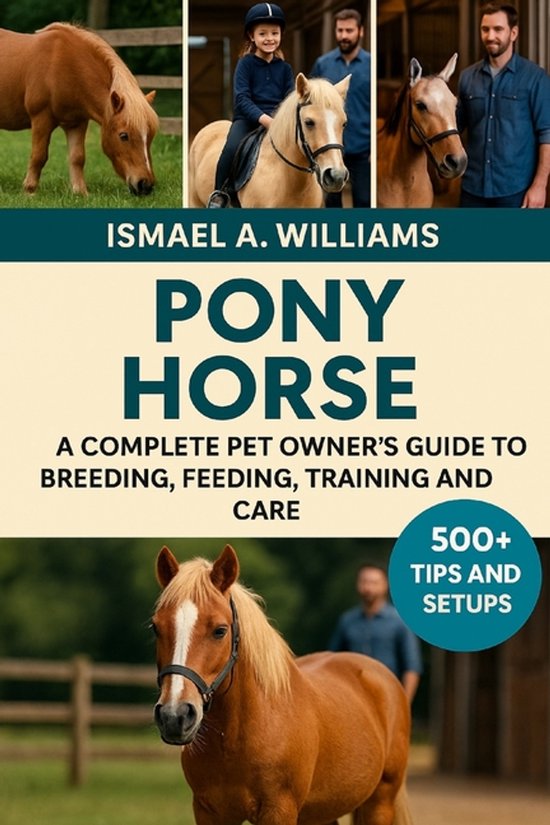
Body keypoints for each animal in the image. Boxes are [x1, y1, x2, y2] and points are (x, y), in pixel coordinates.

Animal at [0, 23, 159, 195]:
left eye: (150, 136)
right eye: (124, 136)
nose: (145, 185)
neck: (65, 65)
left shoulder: (77, 123)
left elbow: (77, 157)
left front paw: (80, 191)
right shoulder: (41, 119)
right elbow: (38, 156)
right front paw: (30, 190)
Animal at [153, 545, 413, 825]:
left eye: (220, 630)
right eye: (156, 627)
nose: (174, 716)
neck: (235, 737)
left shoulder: (279, 811)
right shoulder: (210, 812)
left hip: (380, 802)